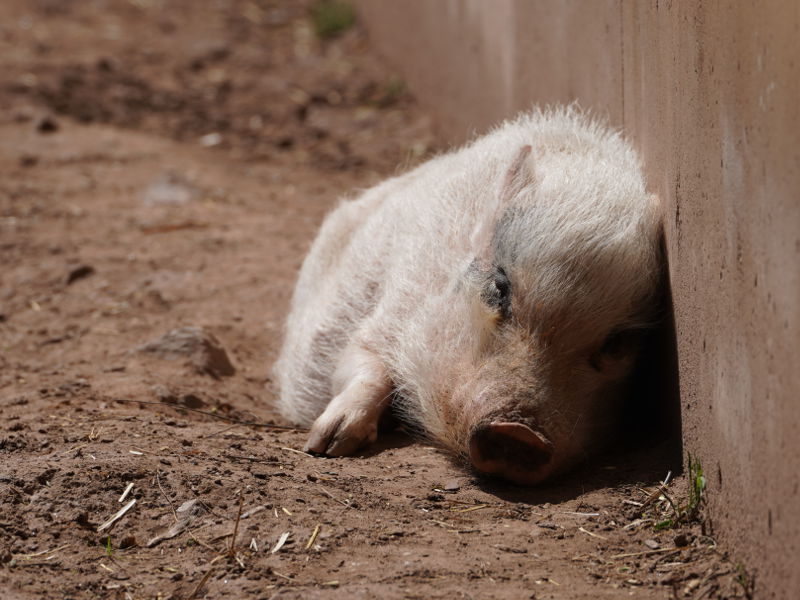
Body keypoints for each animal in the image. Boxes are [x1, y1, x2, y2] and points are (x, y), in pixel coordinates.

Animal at [276, 106, 664, 482]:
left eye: (616, 341)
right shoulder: (391, 311)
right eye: (499, 288)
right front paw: (327, 444)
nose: (517, 433)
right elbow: (363, 366)